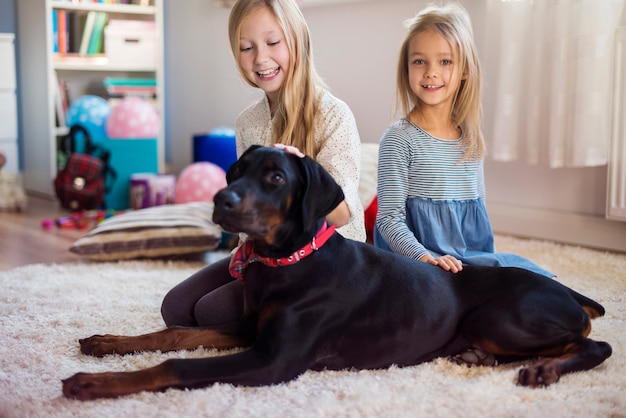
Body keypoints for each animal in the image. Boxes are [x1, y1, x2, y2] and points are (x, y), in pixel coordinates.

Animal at [62, 145, 608, 400]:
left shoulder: (273, 361)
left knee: (594, 344)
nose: (220, 199)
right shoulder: (250, 328)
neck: (286, 264)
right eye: (235, 172)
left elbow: (177, 364)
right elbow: (175, 333)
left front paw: (92, 384)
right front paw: (107, 343)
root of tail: (571, 294)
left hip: (502, 318)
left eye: (275, 177)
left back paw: (543, 369)